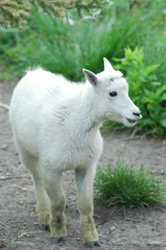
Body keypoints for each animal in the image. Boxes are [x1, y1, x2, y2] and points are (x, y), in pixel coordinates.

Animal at [8, 58, 141, 248]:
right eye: (112, 93)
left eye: (127, 90)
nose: (137, 113)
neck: (76, 119)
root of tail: (33, 71)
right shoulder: (50, 168)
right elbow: (58, 203)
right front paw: (58, 234)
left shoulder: (87, 166)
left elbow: (86, 204)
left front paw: (91, 238)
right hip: (24, 148)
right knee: (37, 181)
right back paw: (44, 216)